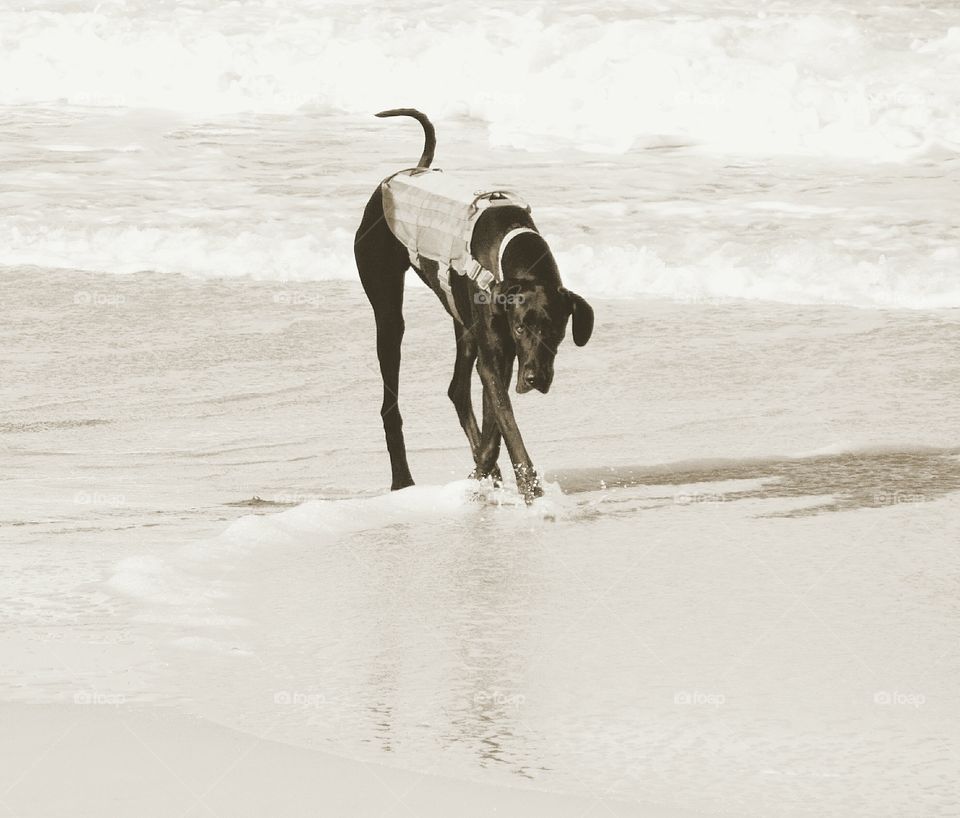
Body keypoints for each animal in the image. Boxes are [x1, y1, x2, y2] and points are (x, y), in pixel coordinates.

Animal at [352, 107, 592, 504]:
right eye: (521, 327)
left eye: (557, 330)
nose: (535, 379)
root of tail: (405, 172)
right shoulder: (497, 353)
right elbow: (507, 423)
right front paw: (529, 489)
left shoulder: (500, 355)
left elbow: (495, 422)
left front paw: (485, 472)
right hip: (387, 312)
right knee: (391, 402)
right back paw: (402, 479)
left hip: (462, 323)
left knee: (457, 389)